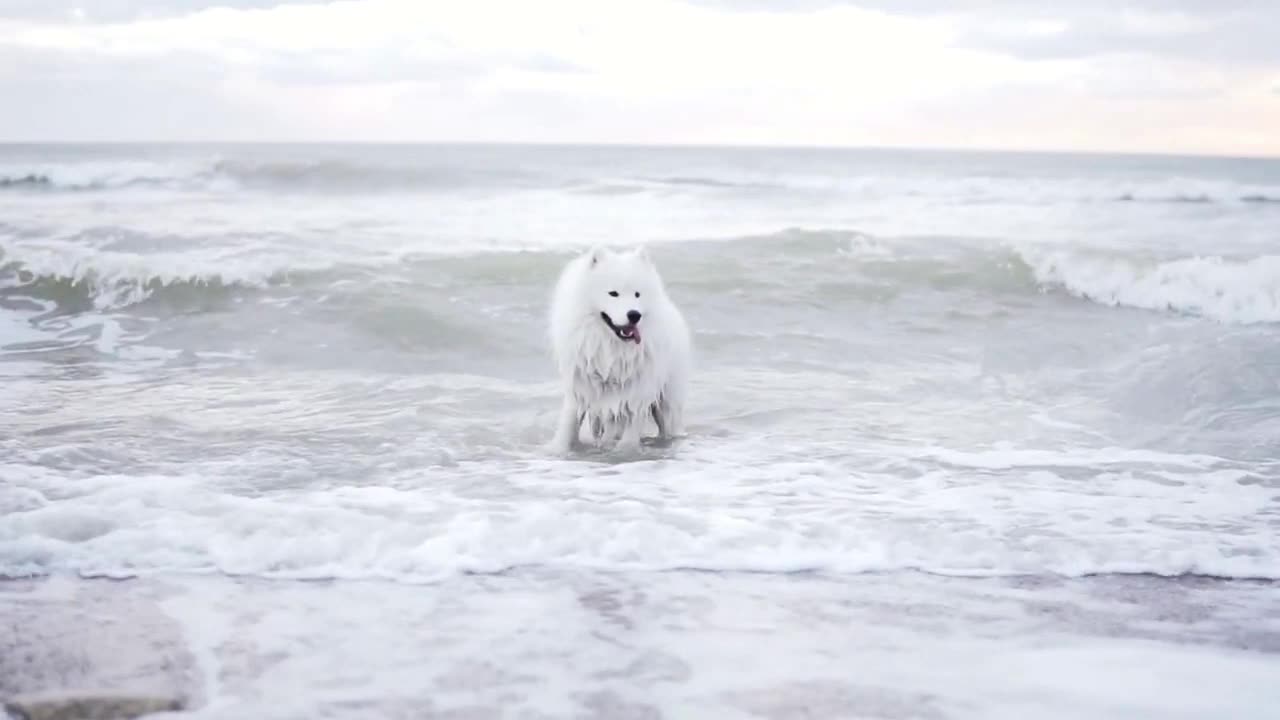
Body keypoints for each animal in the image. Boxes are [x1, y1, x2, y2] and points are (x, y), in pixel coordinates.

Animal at [547, 243, 691, 450]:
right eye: (613, 293)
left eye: (637, 294)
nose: (634, 315)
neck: (610, 348)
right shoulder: (579, 390)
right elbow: (567, 427)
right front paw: (557, 450)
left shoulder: (637, 395)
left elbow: (628, 439)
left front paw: (624, 452)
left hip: (667, 402)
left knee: (670, 426)